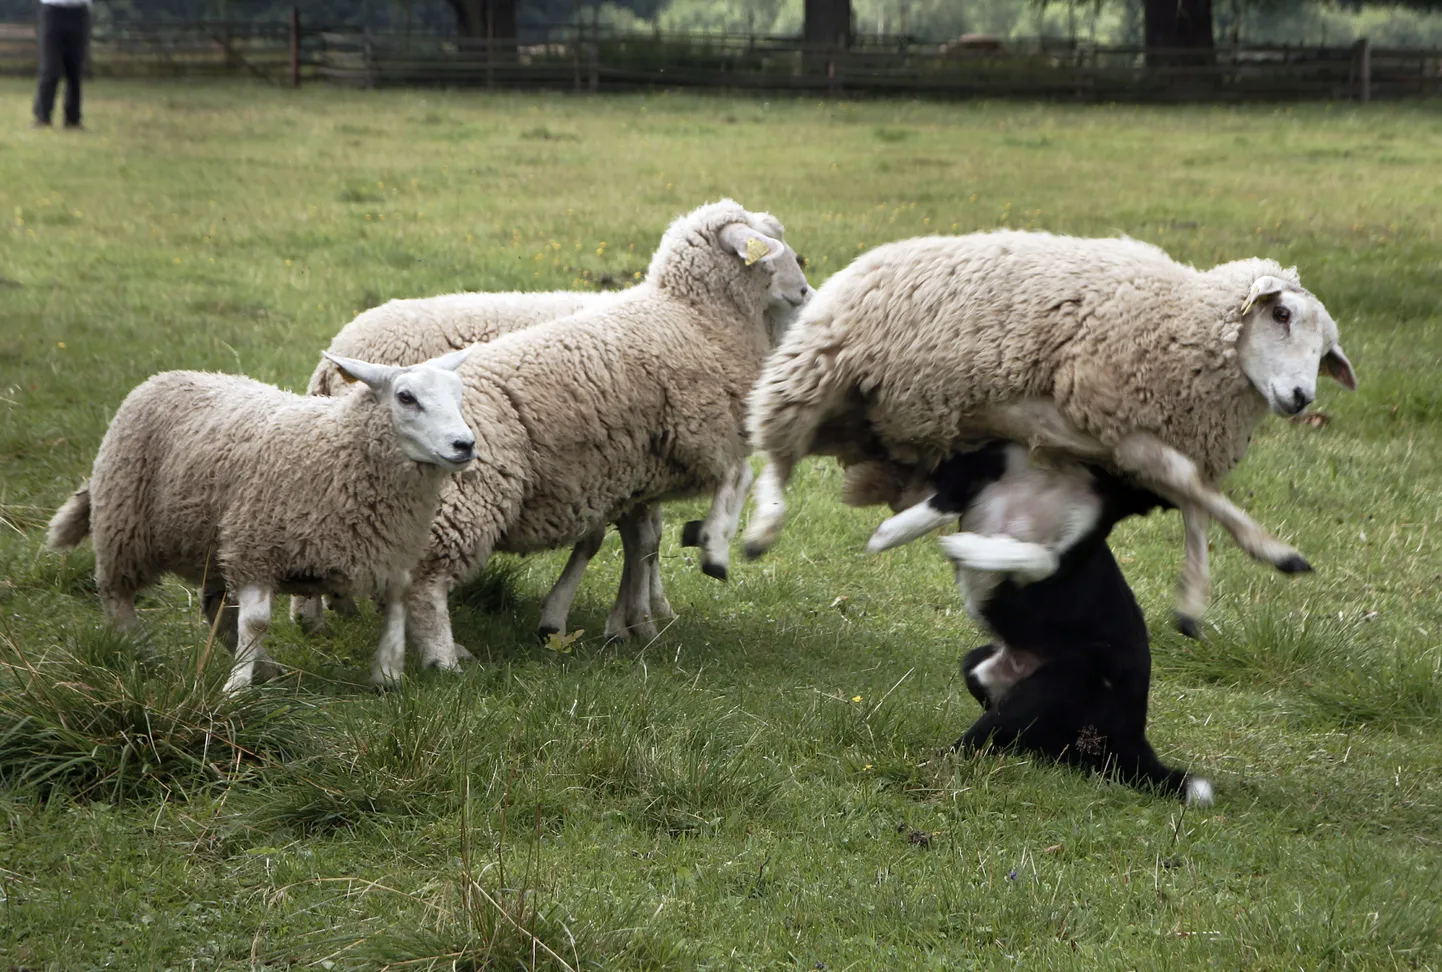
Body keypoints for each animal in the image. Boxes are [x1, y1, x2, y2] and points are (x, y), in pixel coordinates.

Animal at [42, 348, 472, 689]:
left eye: (459, 395)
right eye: (405, 397)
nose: (465, 445)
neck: (339, 447)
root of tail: (168, 375)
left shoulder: (391, 553)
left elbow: (398, 606)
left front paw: (388, 673)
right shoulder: (256, 547)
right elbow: (257, 623)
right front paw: (235, 689)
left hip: (215, 543)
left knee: (214, 607)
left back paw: (264, 667)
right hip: (123, 522)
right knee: (116, 593)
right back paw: (138, 647)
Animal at [738, 230, 1355, 631]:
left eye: (1325, 350)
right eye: (1281, 315)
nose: (1301, 399)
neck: (1184, 322)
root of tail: (856, 266)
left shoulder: (1149, 444)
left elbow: (1195, 500)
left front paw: (1193, 596)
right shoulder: (1111, 419)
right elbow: (1191, 486)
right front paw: (1276, 552)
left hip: (870, 416)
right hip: (817, 373)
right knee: (775, 456)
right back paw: (762, 528)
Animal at [859, 441, 1211, 801]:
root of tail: (1134, 733)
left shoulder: (1067, 554)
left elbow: (1034, 554)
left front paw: (971, 548)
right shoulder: (982, 472)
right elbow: (943, 502)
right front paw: (889, 533)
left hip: (1056, 682)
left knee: (983, 740)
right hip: (978, 666)